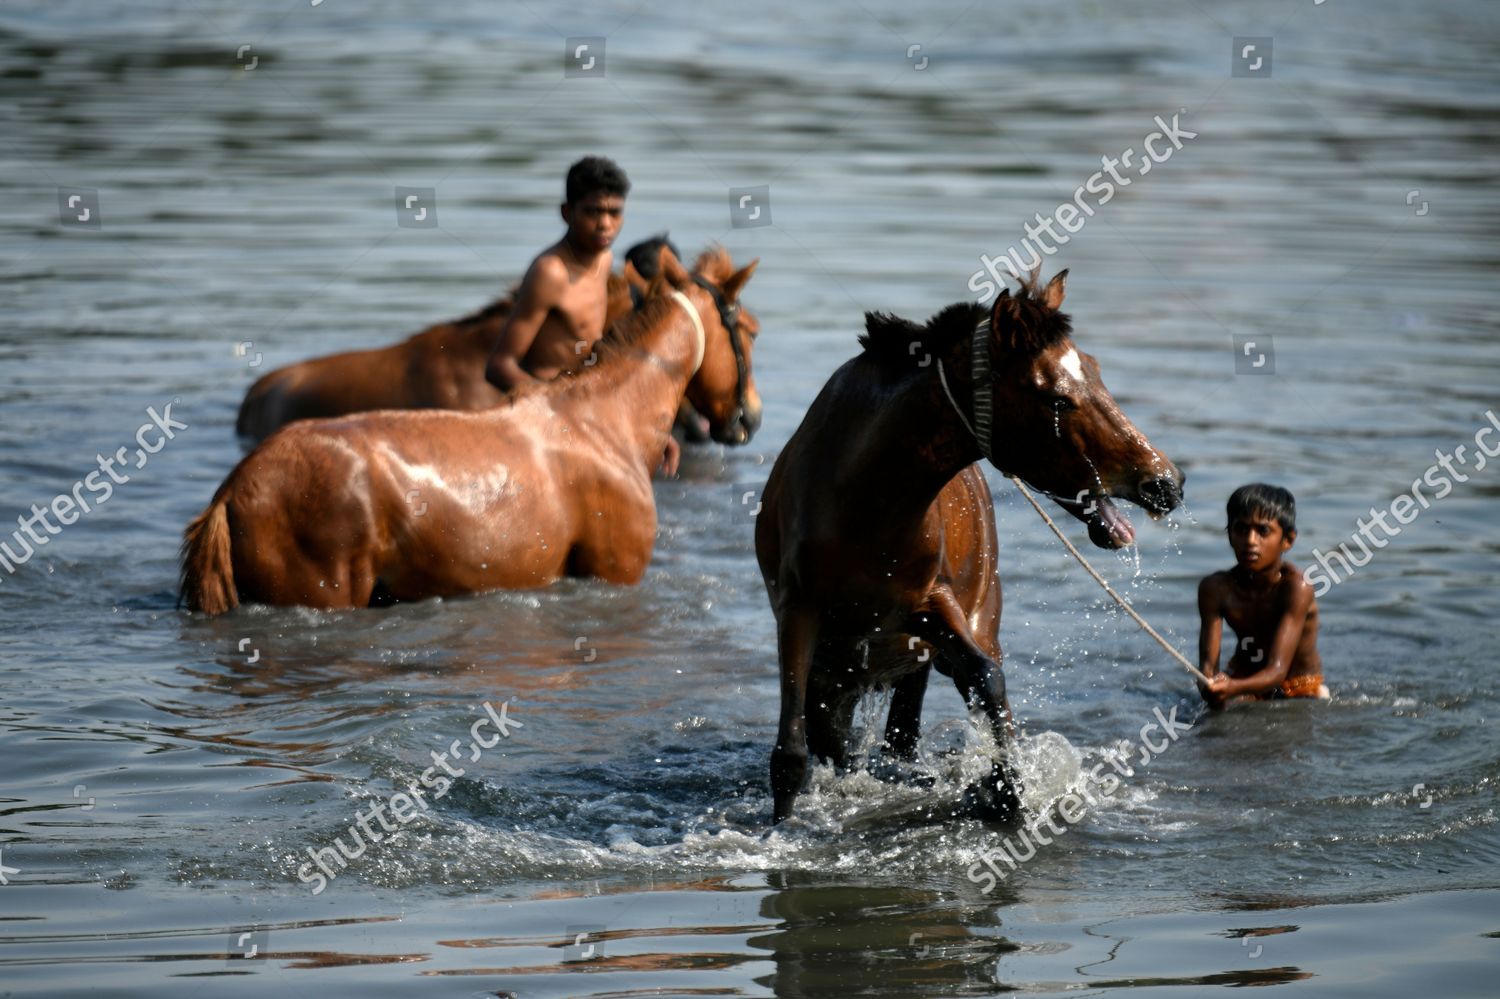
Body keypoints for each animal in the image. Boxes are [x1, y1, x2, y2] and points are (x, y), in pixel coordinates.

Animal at [762, 268, 1182, 822]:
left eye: (1093, 369)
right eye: (1056, 398)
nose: (1165, 482)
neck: (862, 494)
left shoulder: (930, 604)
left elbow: (987, 677)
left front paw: (1009, 793)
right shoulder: (799, 611)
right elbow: (790, 751)